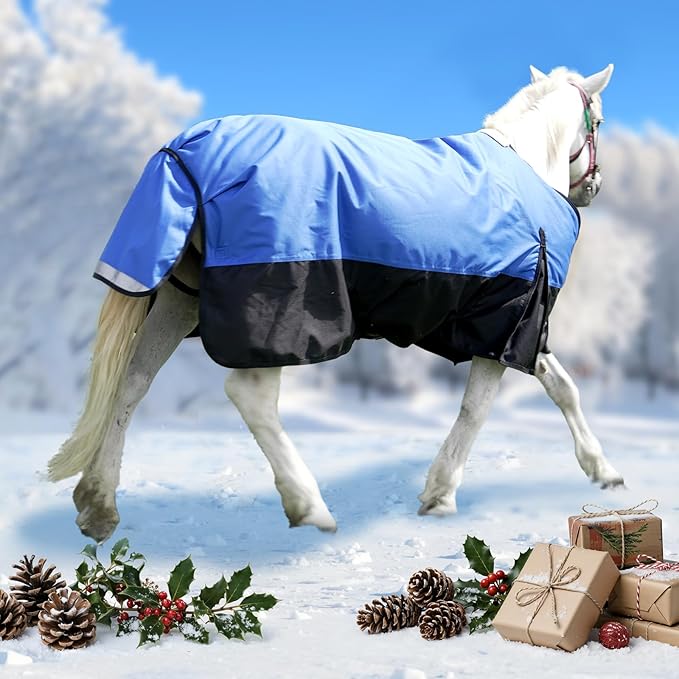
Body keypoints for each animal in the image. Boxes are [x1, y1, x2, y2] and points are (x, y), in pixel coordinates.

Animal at [48, 64, 623, 543]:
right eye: (599, 121)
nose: (594, 187)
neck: (523, 169)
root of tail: (189, 151)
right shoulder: (507, 320)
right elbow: (478, 409)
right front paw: (440, 494)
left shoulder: (517, 329)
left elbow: (561, 386)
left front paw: (603, 470)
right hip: (279, 310)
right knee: (249, 396)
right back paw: (310, 507)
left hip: (178, 302)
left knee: (133, 381)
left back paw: (98, 503)